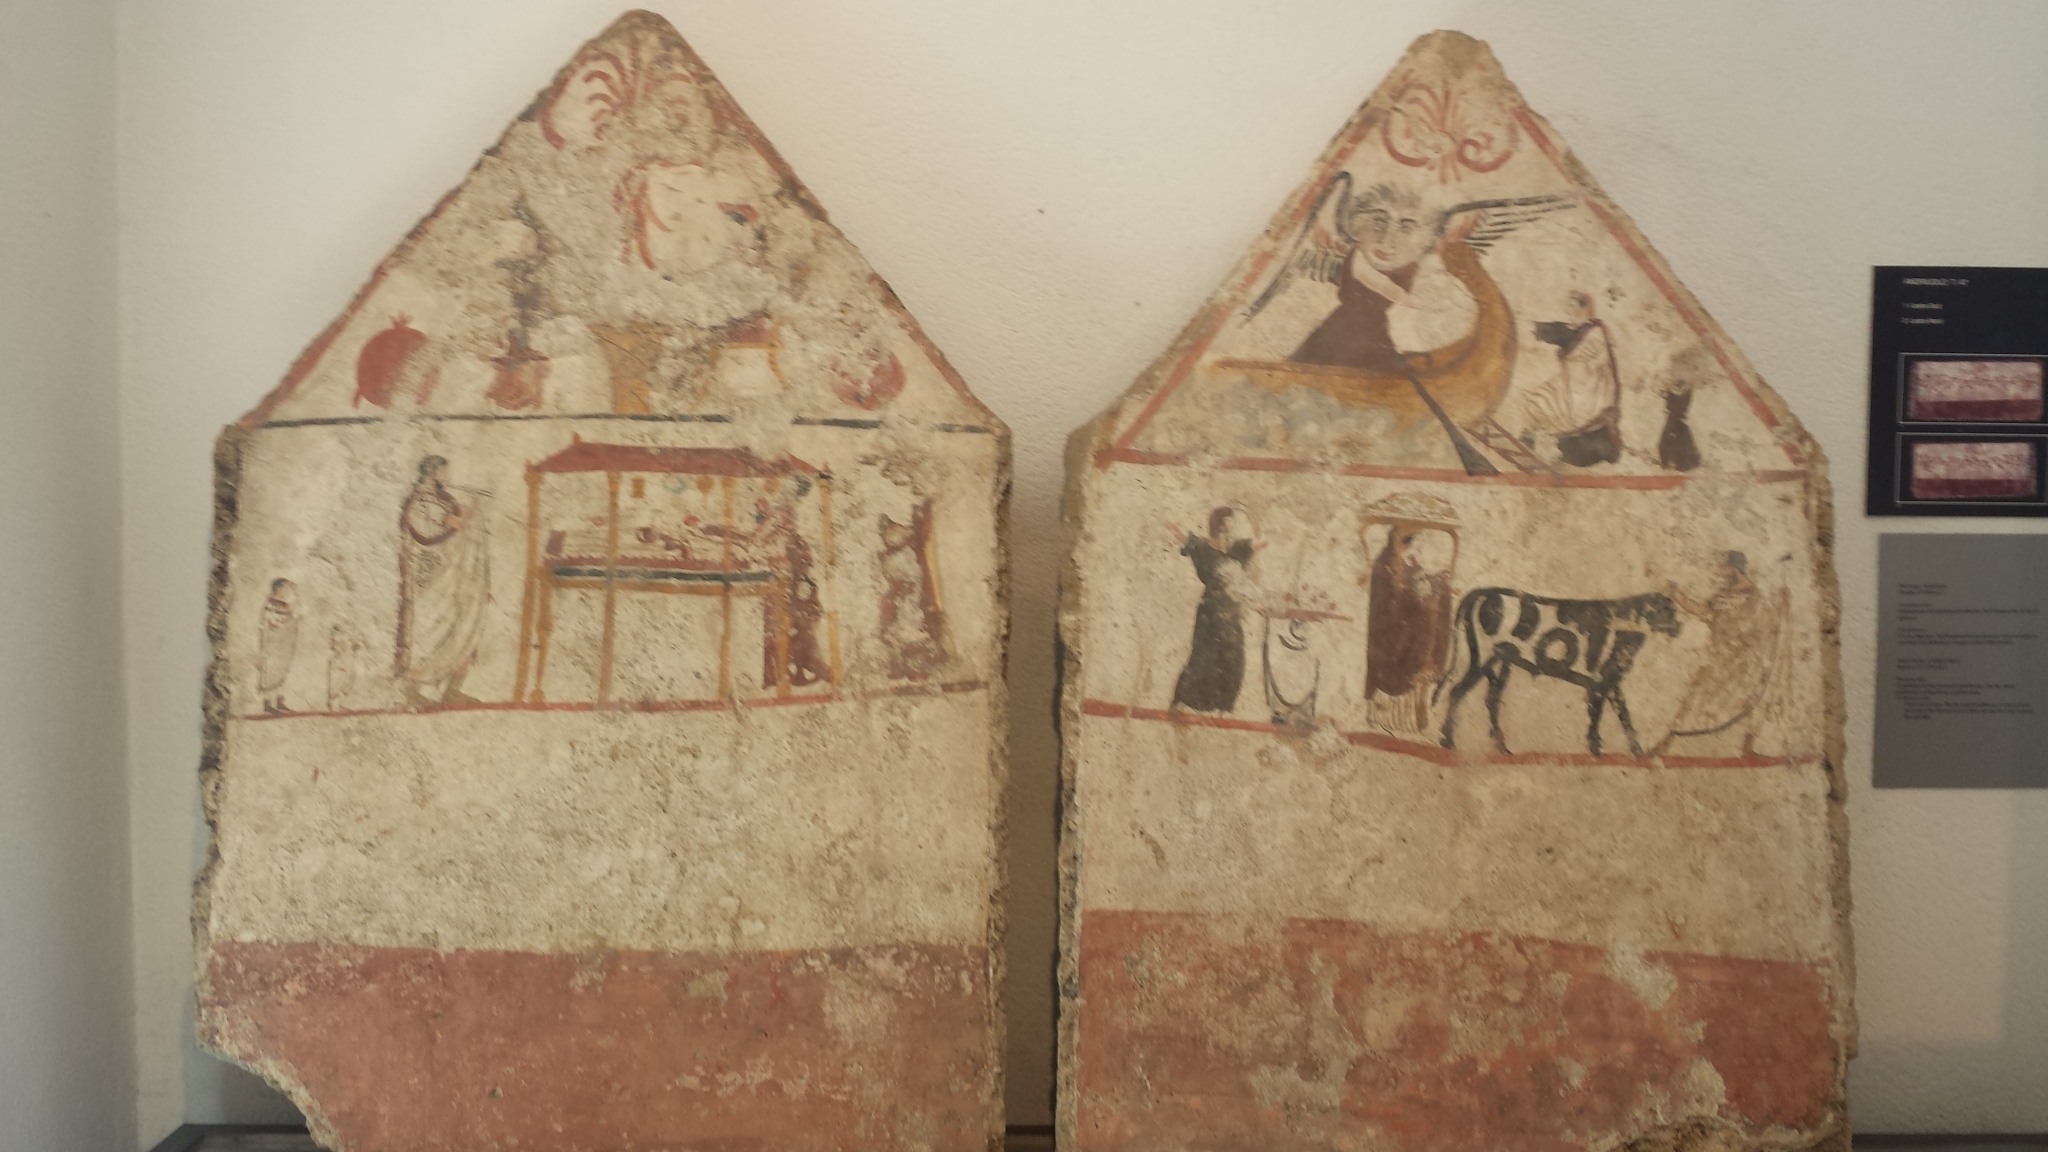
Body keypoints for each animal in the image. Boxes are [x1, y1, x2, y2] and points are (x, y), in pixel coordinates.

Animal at [1435, 587, 1681, 756]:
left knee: (1491, 699)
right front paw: (1595, 749)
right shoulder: (1600, 680)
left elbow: (1624, 717)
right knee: (1458, 691)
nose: (1679, 627)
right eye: (1664, 611)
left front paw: (1637, 752)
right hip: (1481, 656)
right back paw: (1448, 741)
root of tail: (1481, 591)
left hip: (1499, 661)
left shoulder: (1612, 681)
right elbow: (1598, 714)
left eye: (1672, 611)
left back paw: (1502, 747)